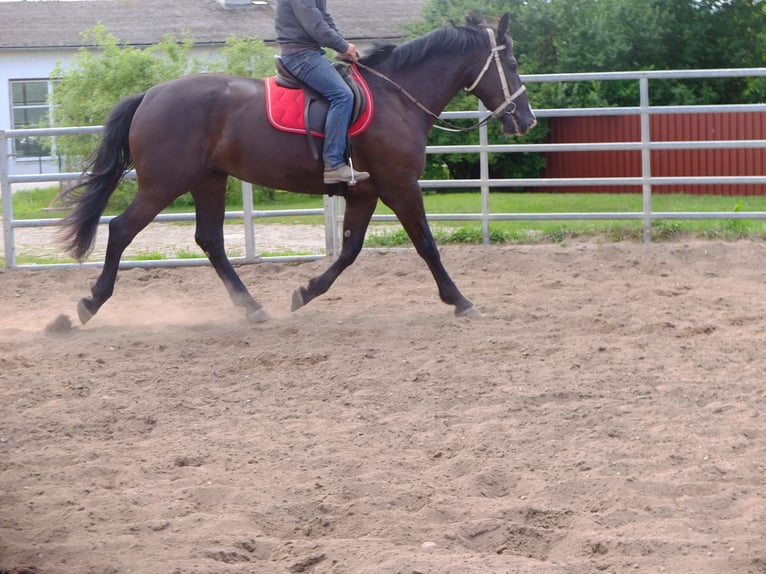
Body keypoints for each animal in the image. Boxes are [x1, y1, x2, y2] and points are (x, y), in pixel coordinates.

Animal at [63, 13, 536, 326]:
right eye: (512, 65)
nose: (527, 120)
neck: (397, 97)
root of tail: (149, 94)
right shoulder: (401, 186)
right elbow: (426, 245)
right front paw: (460, 300)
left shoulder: (365, 193)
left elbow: (349, 251)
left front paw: (305, 292)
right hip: (164, 183)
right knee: (121, 229)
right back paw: (84, 308)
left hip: (208, 180)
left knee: (210, 240)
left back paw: (253, 308)